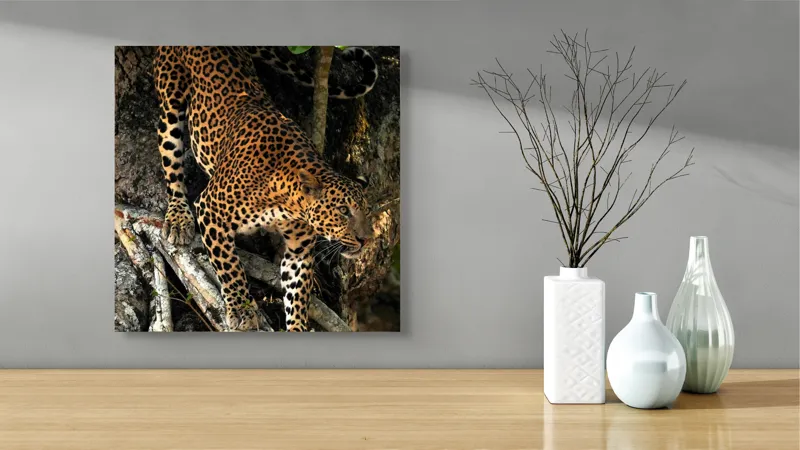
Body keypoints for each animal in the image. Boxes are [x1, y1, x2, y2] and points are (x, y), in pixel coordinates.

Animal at [153, 46, 376, 331]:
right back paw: (179, 218)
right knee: (171, 163)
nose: (366, 239)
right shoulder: (210, 210)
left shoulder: (298, 251)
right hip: (171, 101)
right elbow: (229, 265)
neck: (286, 201)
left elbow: (297, 296)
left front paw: (297, 327)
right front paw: (242, 310)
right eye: (343, 211)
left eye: (367, 212)